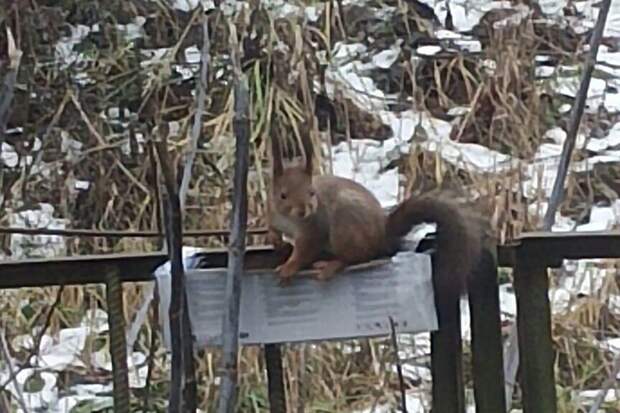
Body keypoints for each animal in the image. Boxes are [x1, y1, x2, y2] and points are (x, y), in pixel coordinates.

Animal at [264, 134, 482, 300]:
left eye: (311, 193)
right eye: (282, 195)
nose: (304, 210)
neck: (290, 220)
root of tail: (383, 235)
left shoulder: (314, 229)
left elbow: (304, 251)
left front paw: (289, 267)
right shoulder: (273, 215)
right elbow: (273, 229)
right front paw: (275, 240)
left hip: (346, 225)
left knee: (357, 257)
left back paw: (330, 265)